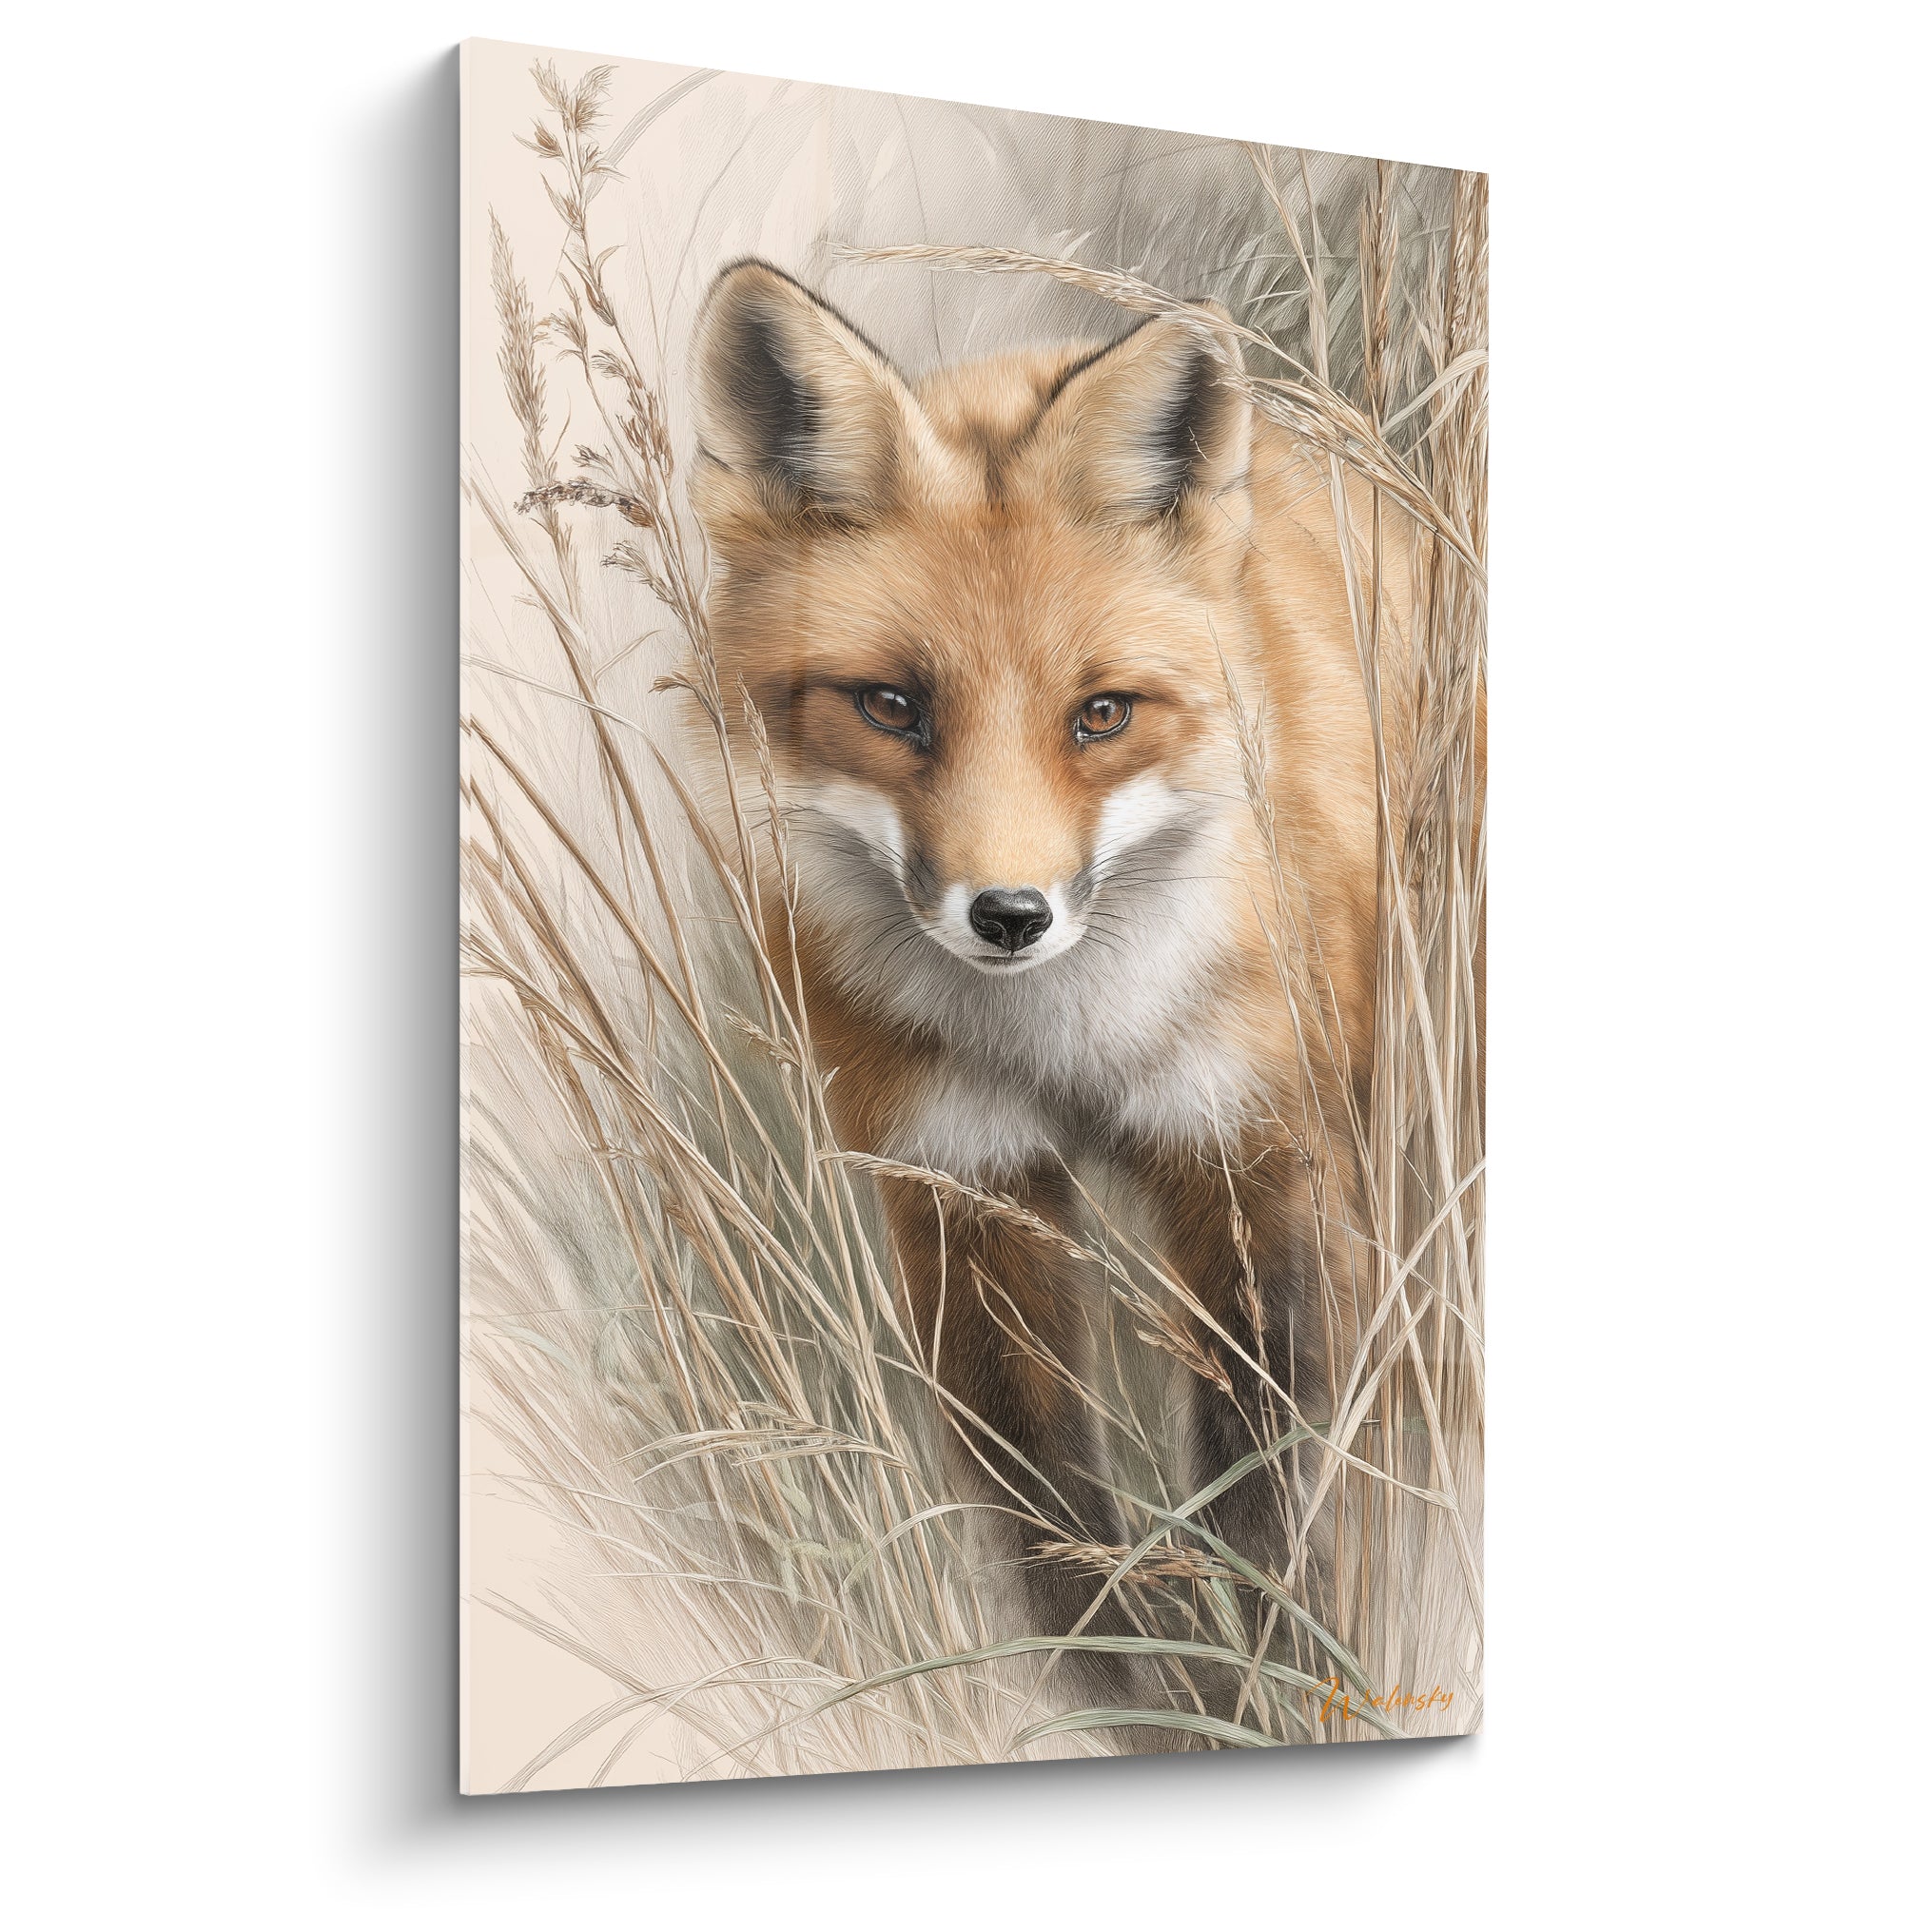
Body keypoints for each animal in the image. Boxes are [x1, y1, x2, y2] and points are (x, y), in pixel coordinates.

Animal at [685, 259, 1408, 1674]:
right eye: (893, 706)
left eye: (1100, 715)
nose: (1008, 914)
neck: (1073, 1046)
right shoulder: (961, 1188)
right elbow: (1054, 1539)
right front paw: (1130, 1695)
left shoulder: (1261, 1161)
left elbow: (1262, 1504)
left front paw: (1260, 1681)